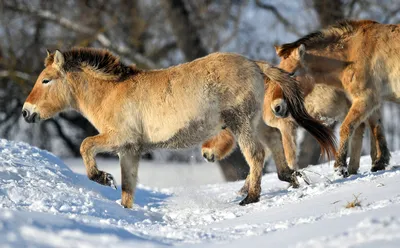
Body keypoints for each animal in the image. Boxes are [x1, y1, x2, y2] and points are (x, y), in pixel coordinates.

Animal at [21, 47, 334, 207]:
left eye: (46, 80)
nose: (26, 112)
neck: (112, 93)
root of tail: (254, 64)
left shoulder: (119, 139)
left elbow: (86, 145)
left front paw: (101, 177)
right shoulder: (129, 150)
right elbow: (128, 189)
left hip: (240, 121)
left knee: (256, 154)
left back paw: (251, 197)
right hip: (254, 121)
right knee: (272, 140)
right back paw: (288, 177)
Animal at [270, 19, 392, 176]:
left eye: (290, 74)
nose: (276, 107)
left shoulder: (366, 98)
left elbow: (348, 128)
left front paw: (340, 166)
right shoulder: (369, 101)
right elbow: (375, 127)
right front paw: (378, 162)